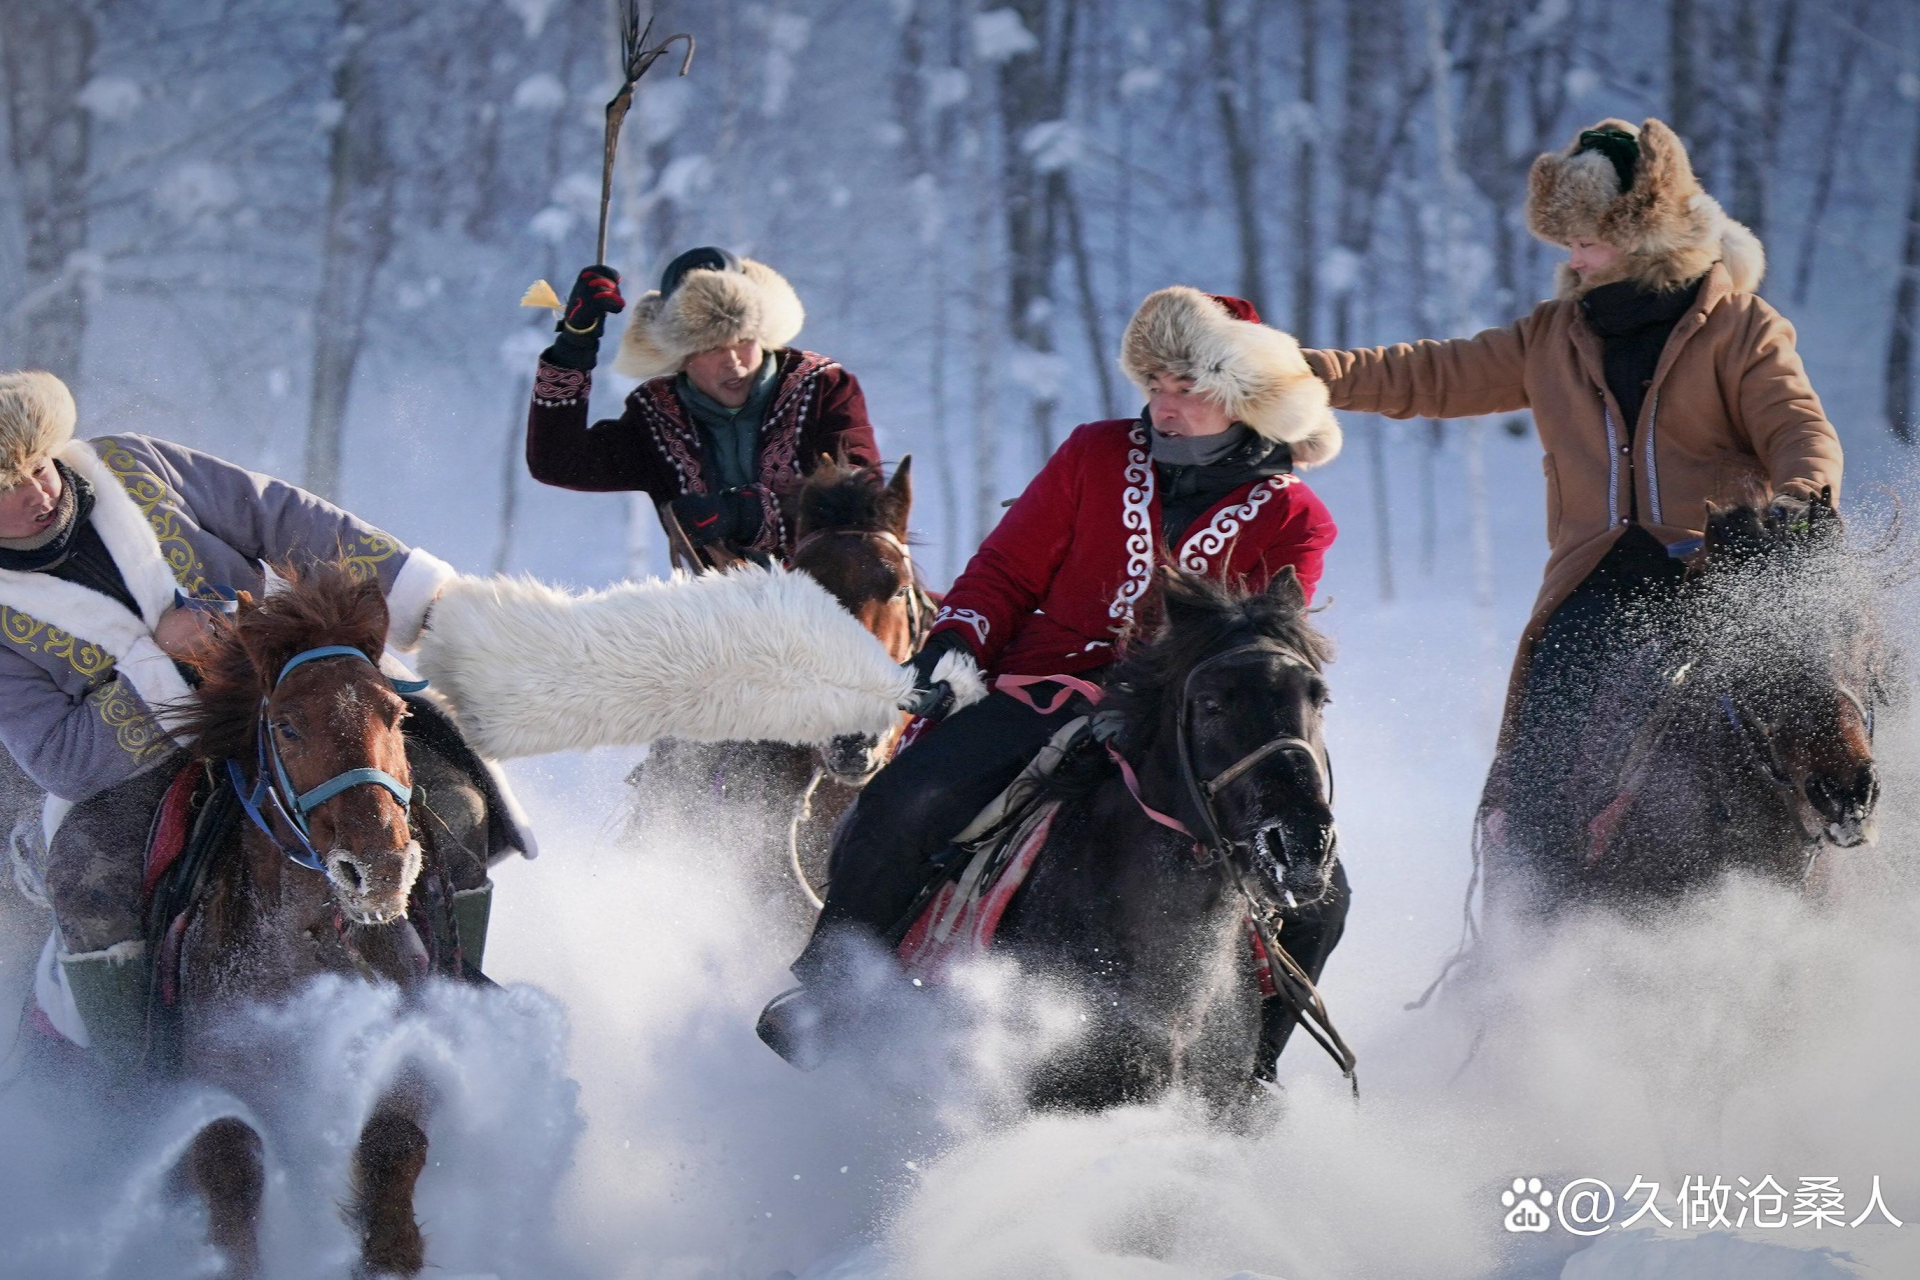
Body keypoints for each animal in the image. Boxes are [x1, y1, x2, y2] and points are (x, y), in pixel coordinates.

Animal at [157, 564, 495, 1274]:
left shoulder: (406, 1043)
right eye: (287, 727)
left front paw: (389, 1251)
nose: (380, 867)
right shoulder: (211, 1075)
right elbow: (230, 1159)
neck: (306, 943)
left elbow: (393, 1139)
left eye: (396, 714)